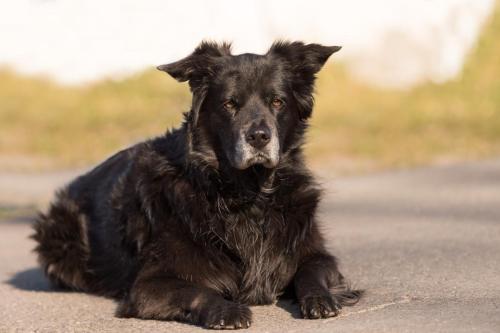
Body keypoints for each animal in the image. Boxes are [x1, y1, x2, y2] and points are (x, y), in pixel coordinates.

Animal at [34, 40, 364, 328]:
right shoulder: (149, 285)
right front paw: (225, 310)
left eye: (277, 101)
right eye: (229, 104)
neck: (249, 195)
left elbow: (312, 272)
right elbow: (197, 290)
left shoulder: (315, 252)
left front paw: (321, 299)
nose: (259, 136)